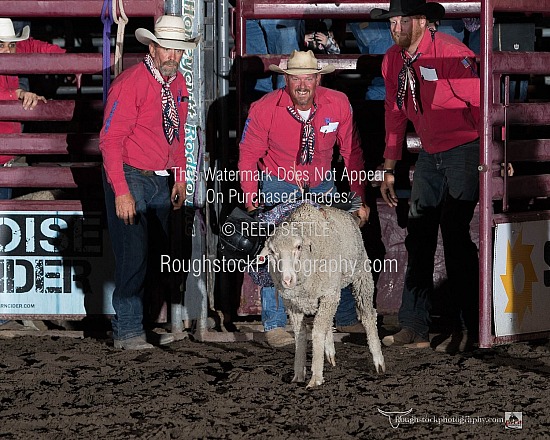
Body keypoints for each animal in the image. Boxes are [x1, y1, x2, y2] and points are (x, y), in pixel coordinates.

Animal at [260, 203, 386, 388]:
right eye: (272, 252)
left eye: (298, 247)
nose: (287, 280)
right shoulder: (292, 304)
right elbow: (300, 334)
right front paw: (298, 373)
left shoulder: (329, 295)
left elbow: (317, 332)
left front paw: (316, 377)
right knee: (327, 321)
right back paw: (330, 352)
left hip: (361, 273)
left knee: (368, 316)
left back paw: (378, 360)